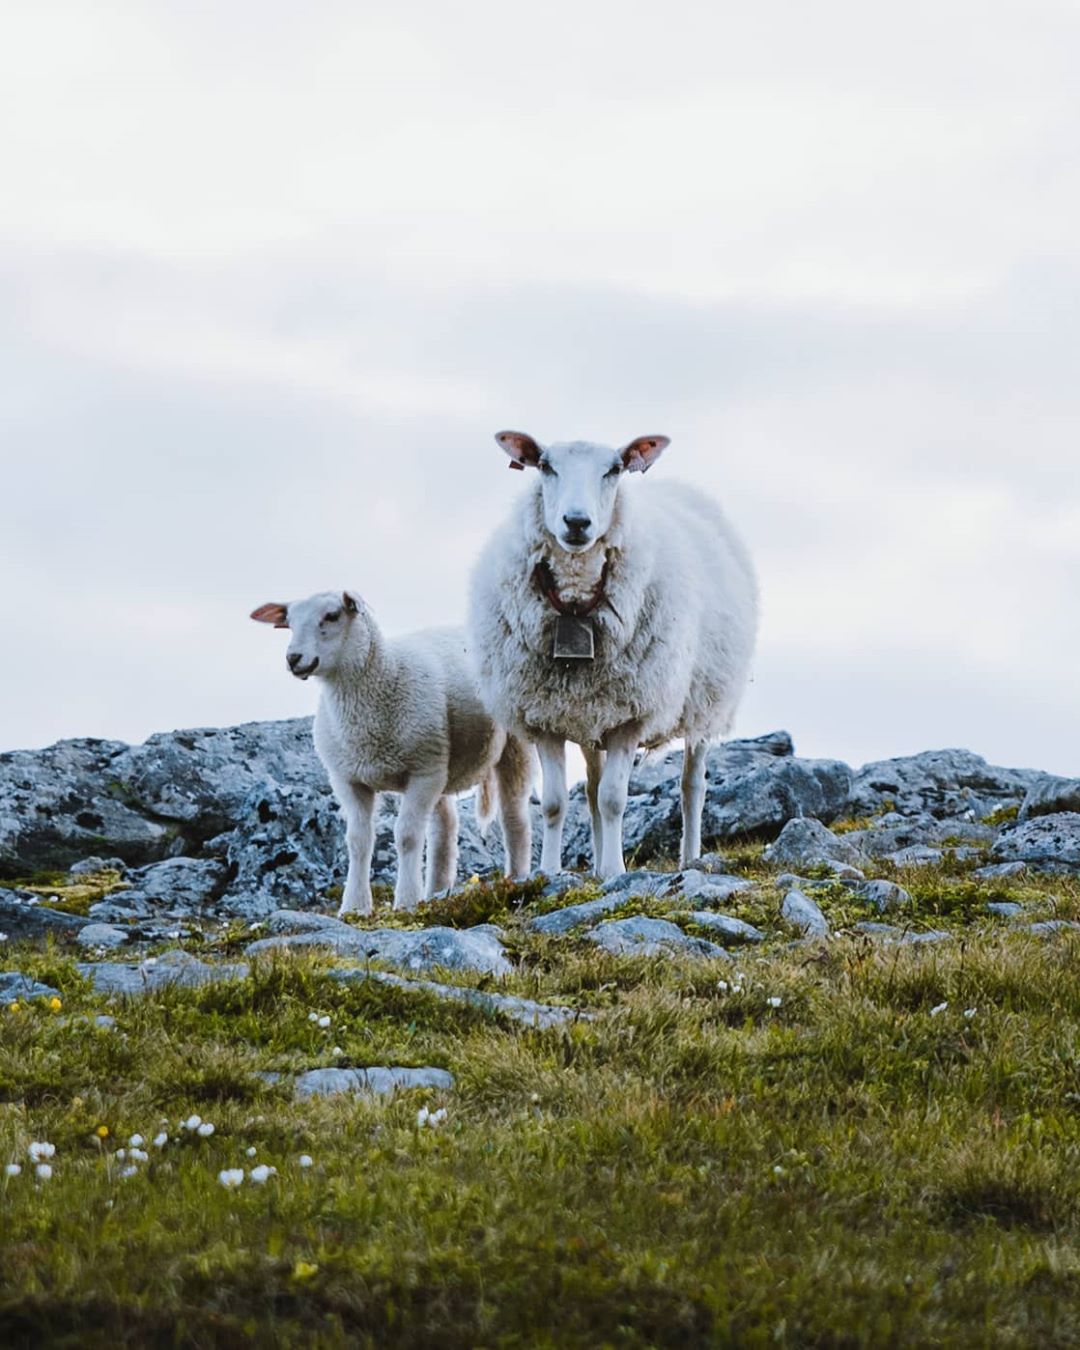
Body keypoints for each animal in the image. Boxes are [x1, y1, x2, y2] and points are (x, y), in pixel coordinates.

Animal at [245, 594, 531, 918]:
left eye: (332, 616)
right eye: (289, 622)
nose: (293, 658)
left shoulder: (421, 772)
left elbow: (406, 836)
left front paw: (405, 900)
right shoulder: (350, 778)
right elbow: (358, 841)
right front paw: (354, 906)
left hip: (506, 744)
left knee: (513, 815)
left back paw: (516, 879)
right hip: (439, 761)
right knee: (445, 827)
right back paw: (436, 893)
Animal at [467, 426, 761, 880]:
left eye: (614, 469)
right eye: (546, 466)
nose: (576, 522)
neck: (575, 606)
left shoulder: (630, 716)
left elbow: (614, 800)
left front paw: (615, 869)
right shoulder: (545, 716)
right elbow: (556, 803)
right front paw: (551, 872)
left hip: (704, 706)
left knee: (691, 785)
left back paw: (689, 856)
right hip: (590, 714)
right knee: (591, 787)